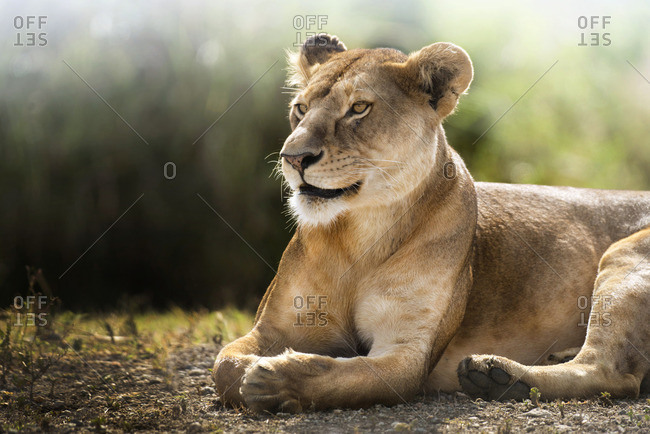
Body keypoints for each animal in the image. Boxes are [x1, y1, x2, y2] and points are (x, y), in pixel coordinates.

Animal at [212, 34, 650, 412]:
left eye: (359, 108)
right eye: (300, 109)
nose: (292, 157)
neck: (358, 235)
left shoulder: (408, 353)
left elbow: (347, 375)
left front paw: (275, 380)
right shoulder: (272, 329)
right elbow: (223, 365)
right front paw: (255, 372)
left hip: (624, 254)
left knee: (610, 373)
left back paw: (496, 375)